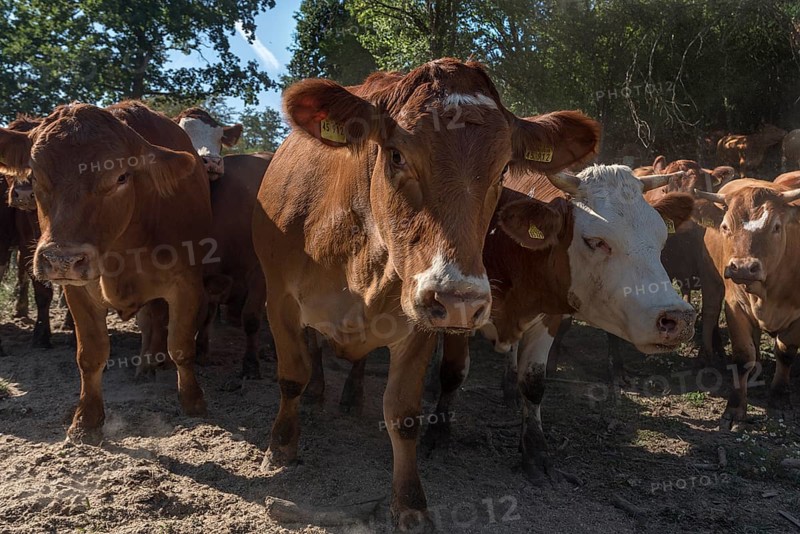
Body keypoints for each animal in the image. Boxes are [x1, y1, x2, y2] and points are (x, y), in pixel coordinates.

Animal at [0, 100, 213, 444]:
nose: (61, 259)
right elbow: (90, 354)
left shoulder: (188, 284)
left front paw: (193, 401)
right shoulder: (76, 289)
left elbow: (181, 345)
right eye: (33, 175)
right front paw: (86, 420)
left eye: (121, 176)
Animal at [251, 58, 601, 529]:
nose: (459, 301)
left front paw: (410, 502)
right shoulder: (279, 300)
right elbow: (292, 375)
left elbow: (403, 414)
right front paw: (281, 446)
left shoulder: (419, 323)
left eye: (503, 169)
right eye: (397, 154)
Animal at [694, 178, 800, 430]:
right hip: (710, 279)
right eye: (725, 227)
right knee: (710, 314)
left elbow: (786, 352)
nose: (742, 267)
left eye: (776, 227)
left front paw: (779, 398)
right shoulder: (735, 307)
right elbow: (743, 356)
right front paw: (734, 409)